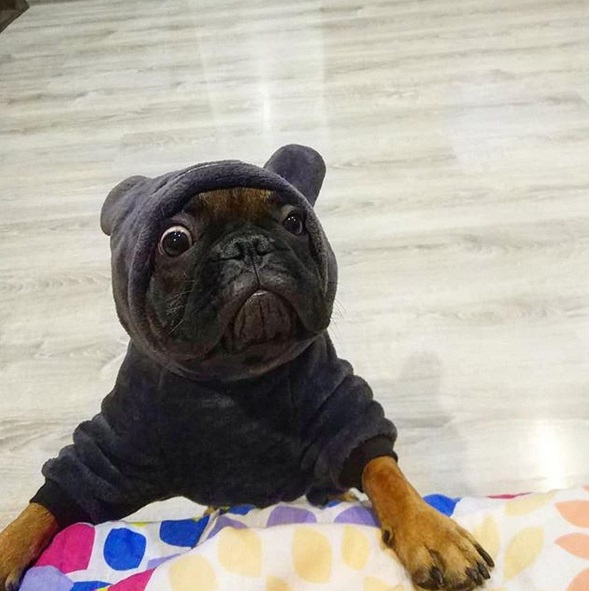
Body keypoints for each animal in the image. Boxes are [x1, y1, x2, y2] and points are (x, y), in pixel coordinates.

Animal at [0, 145, 492, 591]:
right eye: (174, 240)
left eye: (294, 222)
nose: (249, 245)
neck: (237, 376)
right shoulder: (116, 449)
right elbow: (45, 506)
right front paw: (8, 547)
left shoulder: (340, 413)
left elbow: (383, 470)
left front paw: (431, 531)